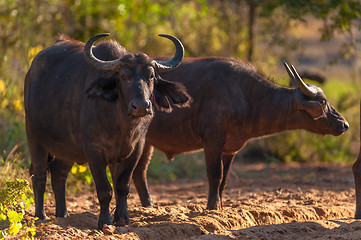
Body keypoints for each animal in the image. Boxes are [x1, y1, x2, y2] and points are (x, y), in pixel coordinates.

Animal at [23, 33, 190, 229]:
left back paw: (63, 215)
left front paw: (123, 219)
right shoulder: (94, 152)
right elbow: (105, 190)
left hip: (67, 148)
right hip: (34, 138)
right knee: (39, 175)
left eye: (151, 76)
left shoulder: (135, 150)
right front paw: (104, 221)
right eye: (124, 76)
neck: (121, 125)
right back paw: (40, 217)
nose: (141, 106)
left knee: (59, 173)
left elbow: (122, 186)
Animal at [132, 57, 348, 210]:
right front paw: (212, 207)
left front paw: (220, 205)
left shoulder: (230, 149)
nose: (344, 124)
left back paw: (149, 205)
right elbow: (215, 174)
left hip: (146, 143)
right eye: (323, 102)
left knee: (139, 173)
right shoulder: (213, 141)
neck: (246, 96)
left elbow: (224, 179)